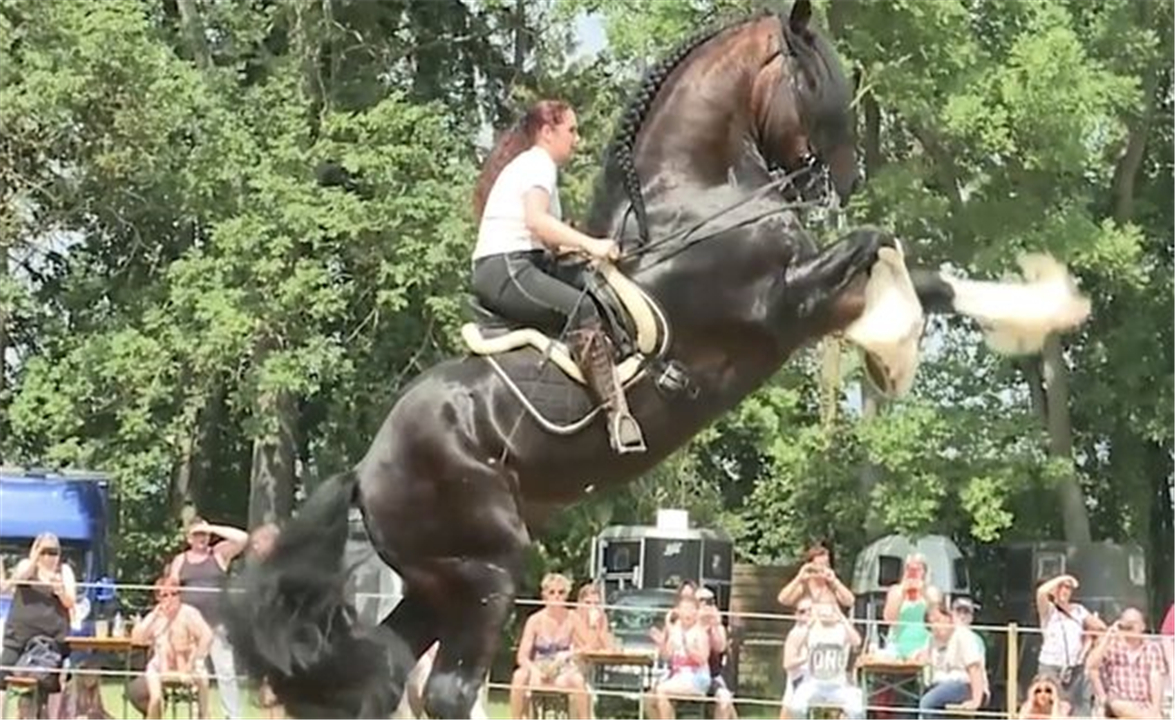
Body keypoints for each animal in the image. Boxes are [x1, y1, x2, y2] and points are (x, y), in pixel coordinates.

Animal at [224, 3, 1090, 718]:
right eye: (816, 79)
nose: (840, 181)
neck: (700, 199)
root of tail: (365, 471)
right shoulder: (784, 305)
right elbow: (880, 246)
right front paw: (895, 350)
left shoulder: (803, 303)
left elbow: (924, 274)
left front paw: (1045, 304)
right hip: (484, 566)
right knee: (442, 691)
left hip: (440, 580)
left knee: (382, 677)